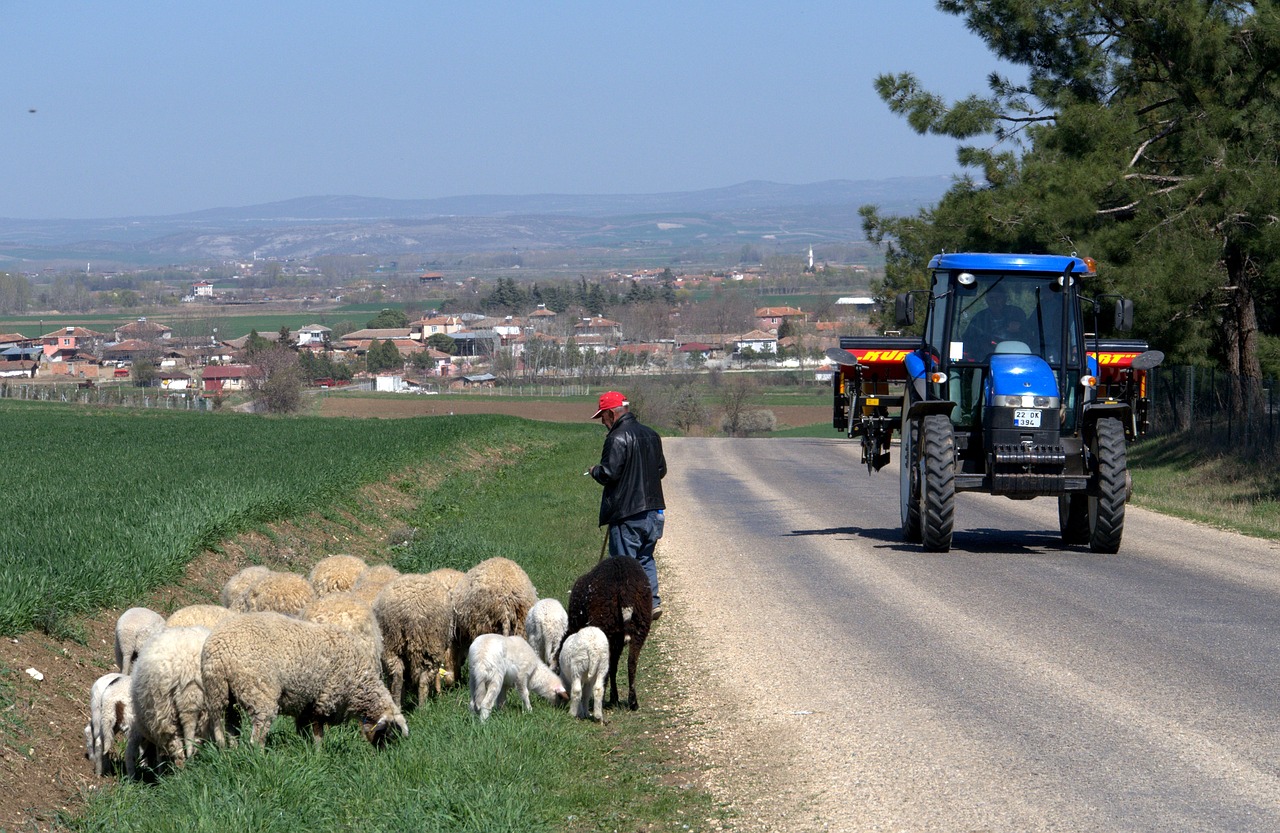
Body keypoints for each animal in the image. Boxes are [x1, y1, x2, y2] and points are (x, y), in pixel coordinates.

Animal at [202, 611, 407, 747]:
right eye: (389, 733)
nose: (382, 755)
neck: (358, 681)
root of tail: (218, 652)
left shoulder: (305, 704)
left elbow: (304, 731)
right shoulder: (323, 700)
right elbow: (318, 734)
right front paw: (319, 755)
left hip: (221, 693)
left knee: (228, 727)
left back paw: (231, 751)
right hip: (258, 690)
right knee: (257, 734)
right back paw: (259, 757)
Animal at [371, 568, 465, 711]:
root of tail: (410, 612)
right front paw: (438, 693)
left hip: (391, 643)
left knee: (397, 676)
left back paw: (398, 704)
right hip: (432, 644)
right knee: (424, 679)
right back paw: (423, 709)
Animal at [568, 560, 655, 711]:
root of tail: (626, 589)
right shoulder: (618, 641)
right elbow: (615, 665)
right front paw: (615, 698)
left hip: (606, 626)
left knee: (607, 666)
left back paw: (602, 700)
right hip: (640, 624)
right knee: (631, 662)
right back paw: (632, 702)